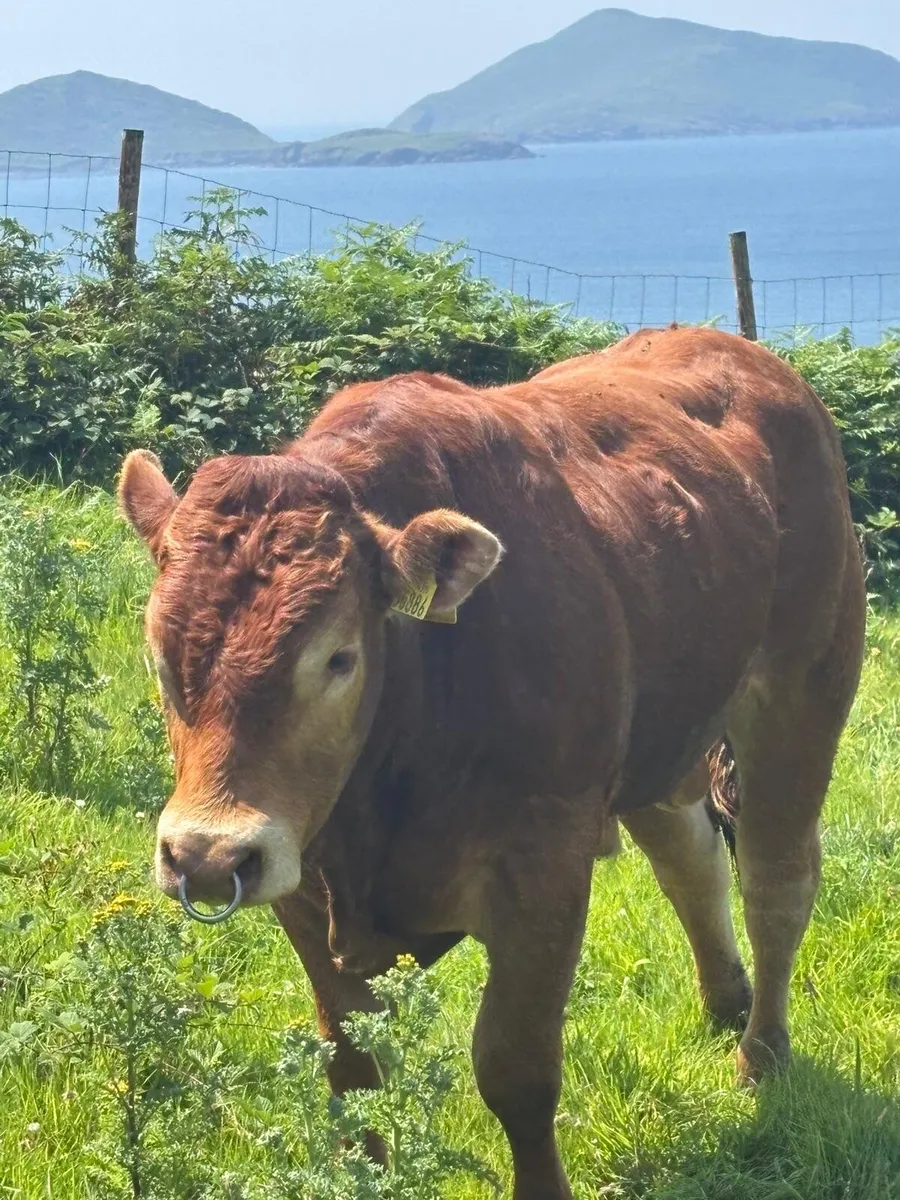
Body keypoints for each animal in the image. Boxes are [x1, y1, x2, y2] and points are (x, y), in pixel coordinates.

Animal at [119, 327, 865, 1200]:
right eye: (160, 658)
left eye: (338, 658)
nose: (204, 855)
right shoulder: (297, 879)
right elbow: (352, 1061)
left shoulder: (544, 868)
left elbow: (516, 1068)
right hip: (665, 727)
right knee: (690, 859)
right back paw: (725, 1002)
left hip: (801, 691)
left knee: (777, 884)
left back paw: (762, 1053)